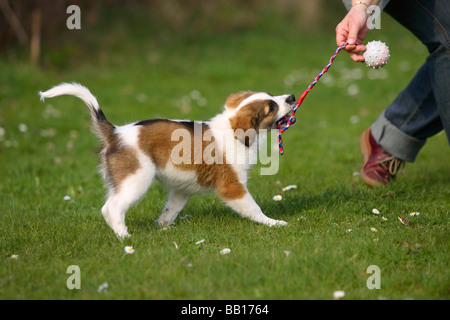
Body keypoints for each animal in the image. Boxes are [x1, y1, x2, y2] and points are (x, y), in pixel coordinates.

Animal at [40, 83, 298, 238]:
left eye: (272, 96)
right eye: (271, 107)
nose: (292, 96)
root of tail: (115, 133)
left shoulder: (183, 188)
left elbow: (171, 209)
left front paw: (163, 227)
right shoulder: (232, 186)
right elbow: (254, 208)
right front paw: (273, 223)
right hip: (137, 179)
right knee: (111, 207)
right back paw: (124, 237)